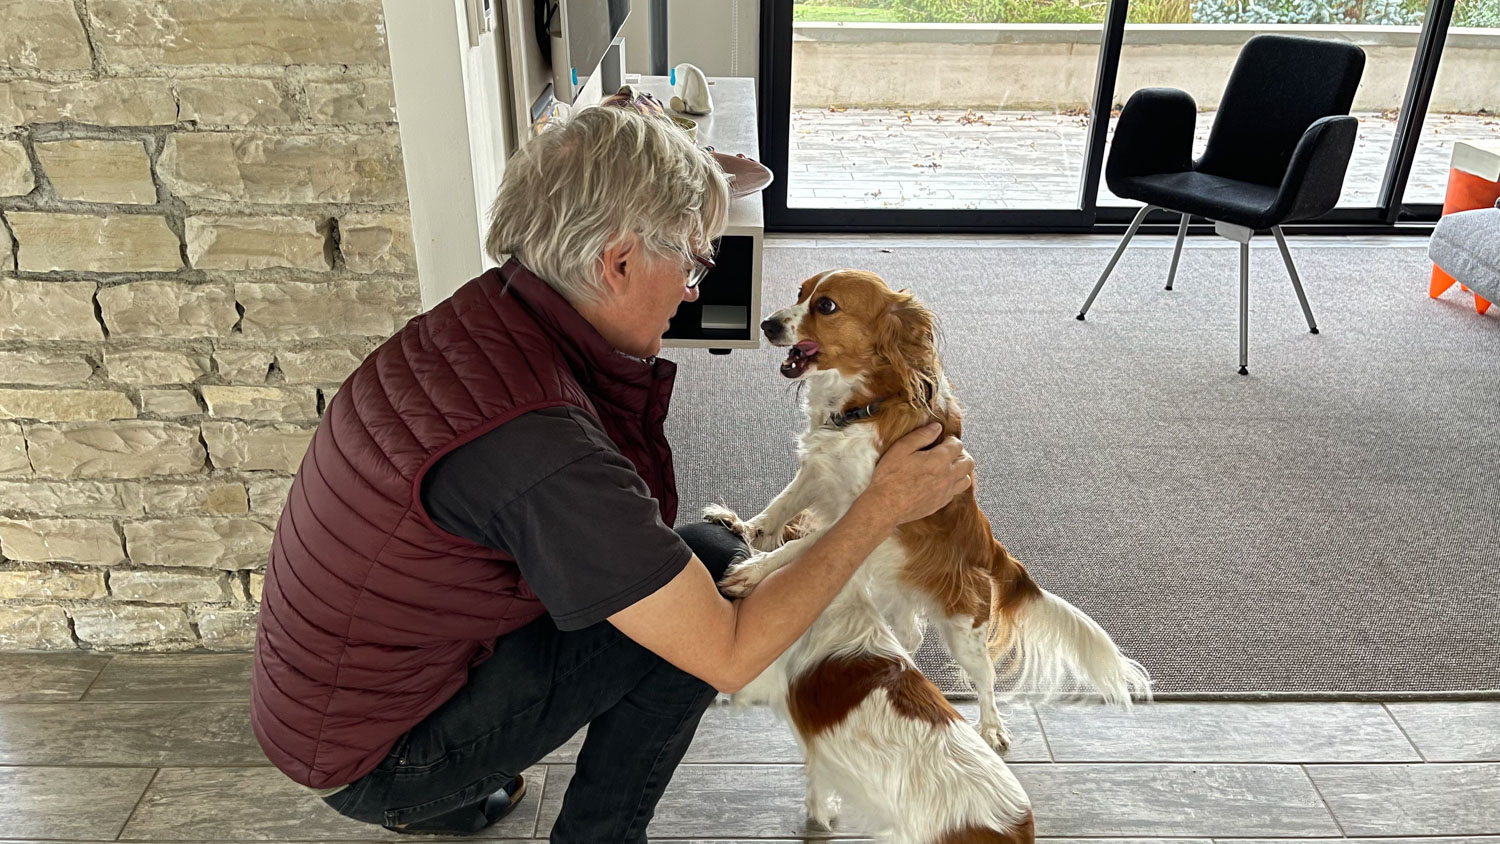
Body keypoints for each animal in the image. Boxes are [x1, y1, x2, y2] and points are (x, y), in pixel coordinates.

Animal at [707, 269, 1150, 753]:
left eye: (826, 306)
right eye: (800, 293)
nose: (766, 324)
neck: (861, 405)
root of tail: (991, 548)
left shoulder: (869, 514)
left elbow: (797, 546)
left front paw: (754, 570)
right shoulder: (819, 472)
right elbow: (780, 505)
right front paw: (745, 528)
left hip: (963, 631)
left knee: (985, 678)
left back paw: (991, 728)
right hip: (902, 586)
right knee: (912, 635)